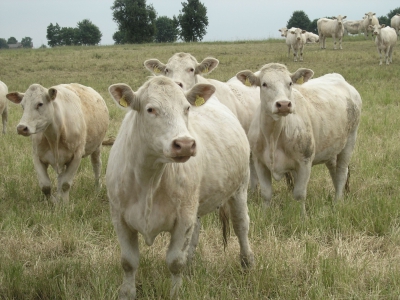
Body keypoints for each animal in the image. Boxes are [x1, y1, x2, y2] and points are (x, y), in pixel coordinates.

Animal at [107, 77, 253, 300]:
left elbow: (175, 262)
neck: (149, 179)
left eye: (186, 108)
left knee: (241, 225)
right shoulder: (119, 218)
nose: (184, 144)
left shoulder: (183, 219)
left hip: (239, 188)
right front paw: (127, 293)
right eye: (151, 109)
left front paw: (176, 292)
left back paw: (247, 262)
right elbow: (128, 262)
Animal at [238, 62, 362, 213]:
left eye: (290, 83)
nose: (283, 104)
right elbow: (266, 194)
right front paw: (265, 214)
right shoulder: (259, 162)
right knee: (334, 170)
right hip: (331, 147)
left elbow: (299, 194)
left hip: (350, 141)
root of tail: (339, 78)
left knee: (341, 173)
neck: (273, 135)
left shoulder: (304, 162)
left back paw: (337, 202)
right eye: (264, 84)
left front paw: (302, 216)